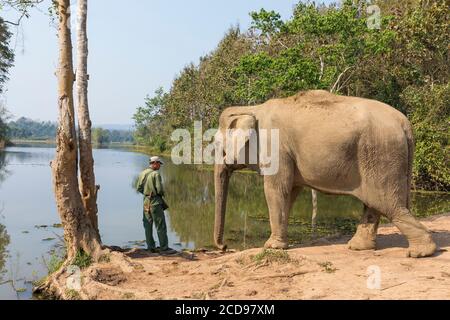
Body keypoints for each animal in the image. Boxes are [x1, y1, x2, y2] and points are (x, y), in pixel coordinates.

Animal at [213, 89, 438, 258]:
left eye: (215, 145)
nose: (224, 247)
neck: (252, 108)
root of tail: (405, 124)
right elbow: (290, 192)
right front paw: (279, 244)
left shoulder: (276, 149)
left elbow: (275, 190)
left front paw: (271, 247)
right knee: (375, 203)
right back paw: (358, 247)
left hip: (381, 155)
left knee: (388, 204)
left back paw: (420, 252)